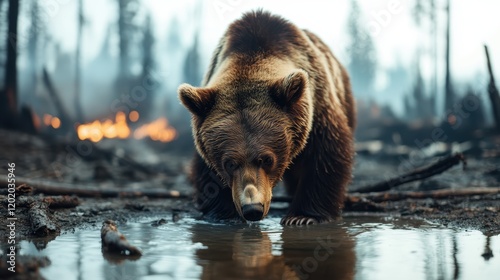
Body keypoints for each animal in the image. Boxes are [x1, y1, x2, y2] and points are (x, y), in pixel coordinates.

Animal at [178, 9, 354, 225]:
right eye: (229, 163)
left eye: (267, 159)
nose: (252, 208)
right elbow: (207, 171)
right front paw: (223, 213)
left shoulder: (318, 108)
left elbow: (325, 156)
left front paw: (302, 216)